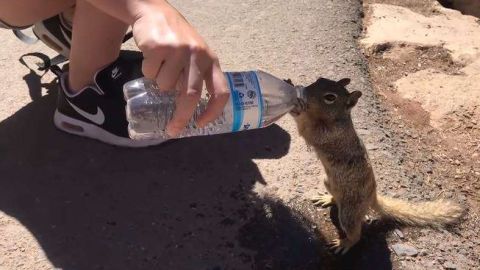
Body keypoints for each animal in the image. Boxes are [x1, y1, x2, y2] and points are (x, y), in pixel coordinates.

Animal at [284, 77, 464, 254]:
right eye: (319, 79)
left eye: (330, 97)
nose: (304, 92)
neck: (337, 119)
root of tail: (372, 196)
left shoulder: (327, 134)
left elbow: (305, 128)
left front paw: (295, 102)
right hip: (328, 182)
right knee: (336, 198)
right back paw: (328, 198)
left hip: (349, 213)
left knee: (355, 233)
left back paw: (345, 243)